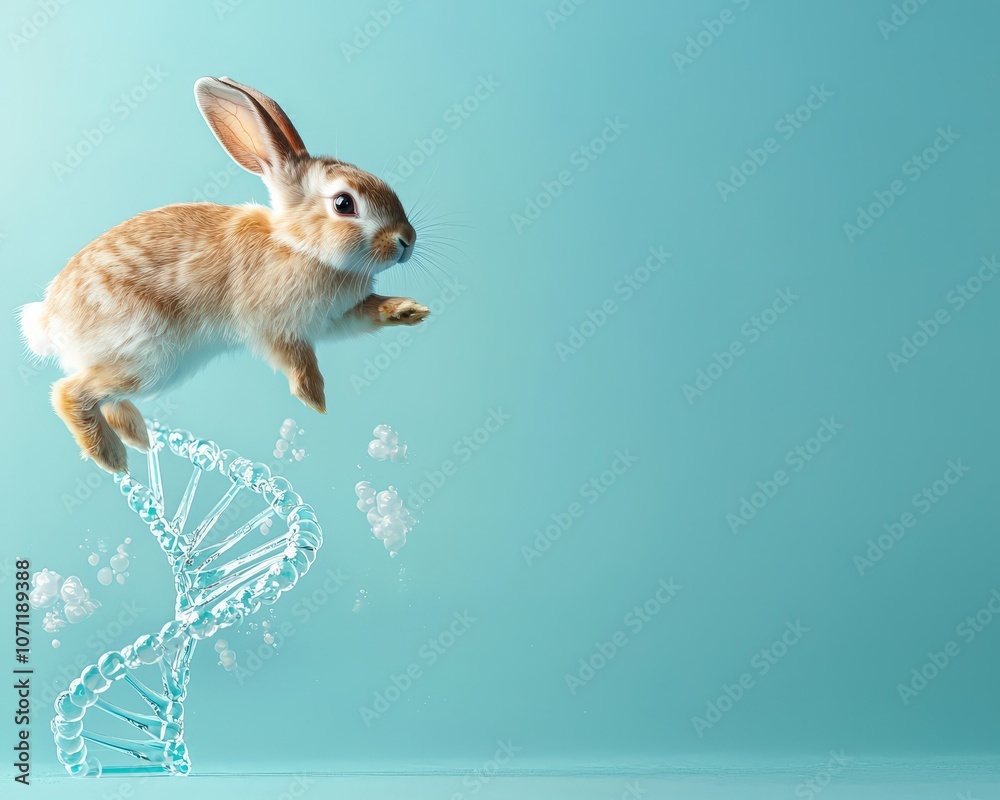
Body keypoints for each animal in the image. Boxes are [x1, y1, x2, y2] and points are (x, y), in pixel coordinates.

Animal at [19, 76, 430, 474]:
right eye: (344, 204)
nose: (406, 240)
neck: (299, 245)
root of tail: (50, 321)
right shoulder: (273, 327)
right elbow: (295, 358)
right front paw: (314, 397)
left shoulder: (335, 318)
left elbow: (366, 315)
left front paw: (409, 311)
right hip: (147, 356)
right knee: (71, 393)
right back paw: (111, 457)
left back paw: (138, 438)